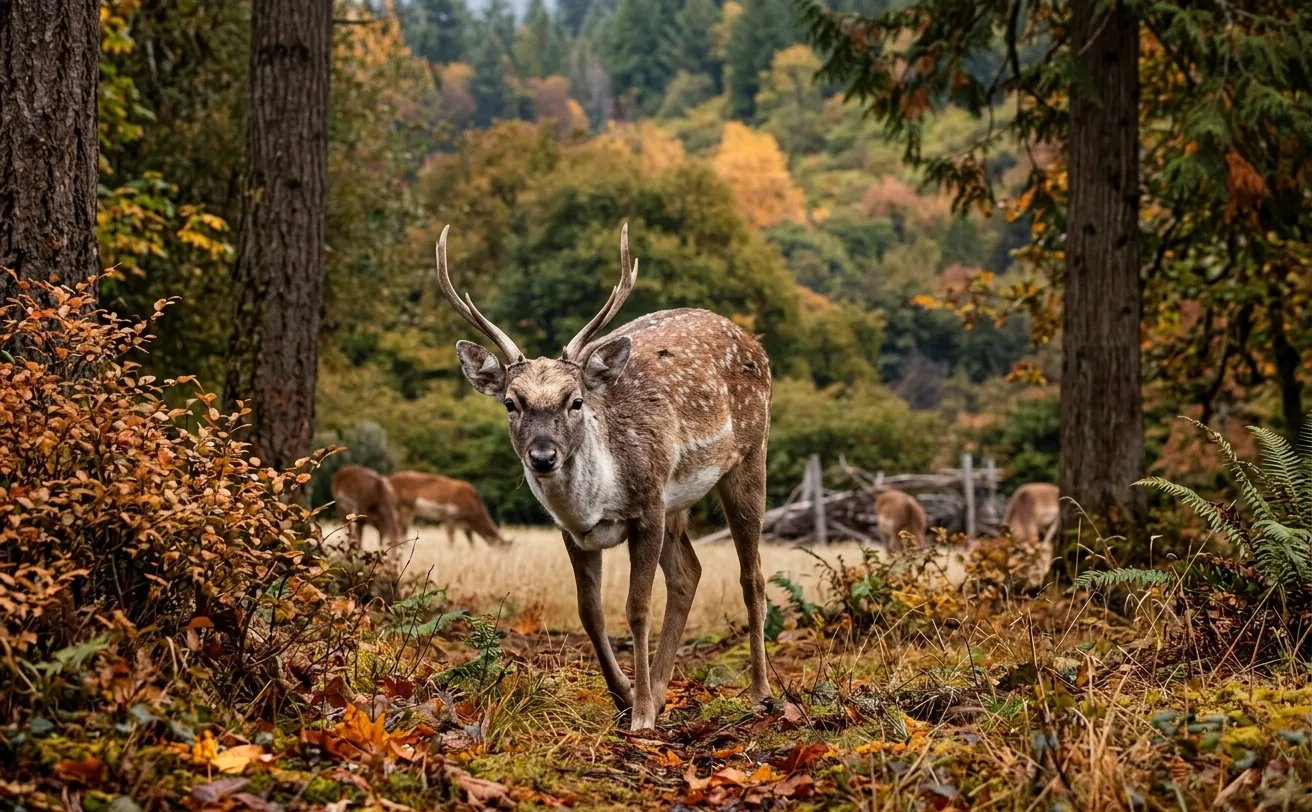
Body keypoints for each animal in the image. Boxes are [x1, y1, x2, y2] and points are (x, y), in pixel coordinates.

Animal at [434, 223, 772, 731]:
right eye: (511, 402)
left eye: (575, 400)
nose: (543, 456)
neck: (600, 500)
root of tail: (756, 342)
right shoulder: (574, 531)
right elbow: (589, 612)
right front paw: (625, 696)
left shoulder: (648, 506)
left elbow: (636, 608)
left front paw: (642, 716)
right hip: (677, 503)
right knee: (689, 573)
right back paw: (662, 688)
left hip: (749, 457)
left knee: (751, 576)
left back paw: (759, 694)